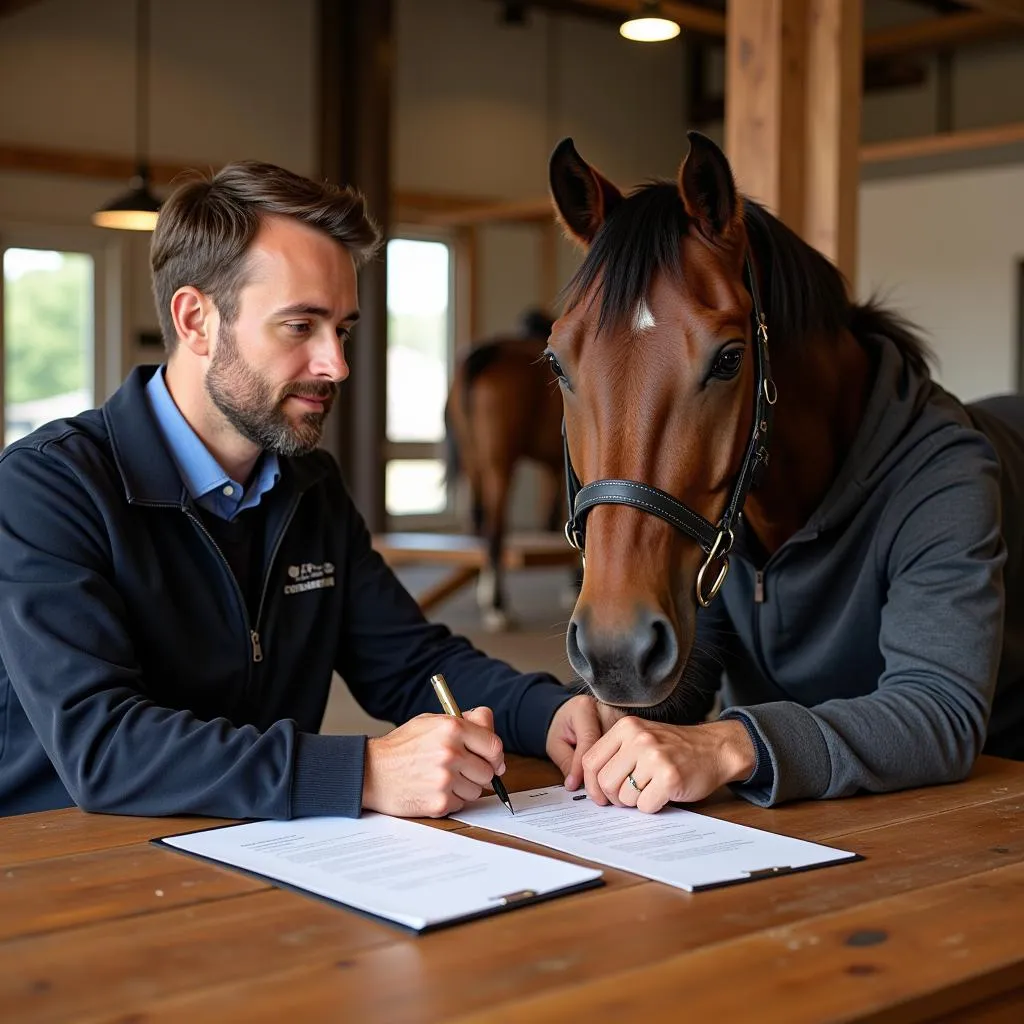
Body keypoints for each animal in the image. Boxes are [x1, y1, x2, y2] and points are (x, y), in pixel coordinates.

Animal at [442, 309, 569, 630]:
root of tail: (487, 353)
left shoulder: (554, 467)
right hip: (499, 466)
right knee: (496, 528)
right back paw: (497, 606)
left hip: (475, 463)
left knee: (478, 522)